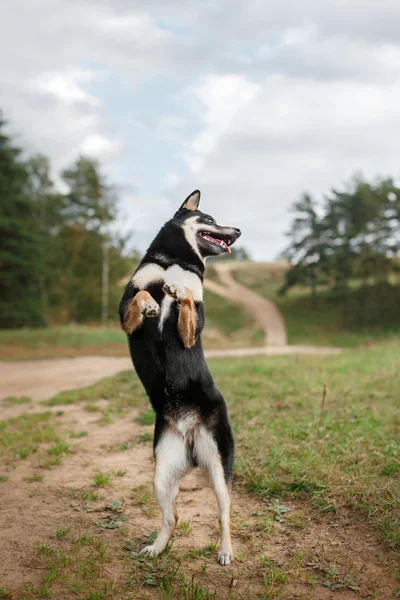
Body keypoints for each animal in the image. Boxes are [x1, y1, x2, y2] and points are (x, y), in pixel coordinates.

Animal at [119, 190, 242, 564]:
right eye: (211, 219)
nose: (238, 231)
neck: (176, 262)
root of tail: (189, 436)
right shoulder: (125, 313)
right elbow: (142, 295)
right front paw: (151, 304)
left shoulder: (191, 329)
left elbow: (186, 295)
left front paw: (175, 290)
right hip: (161, 473)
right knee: (172, 517)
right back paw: (157, 547)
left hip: (218, 464)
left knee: (224, 514)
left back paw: (225, 551)